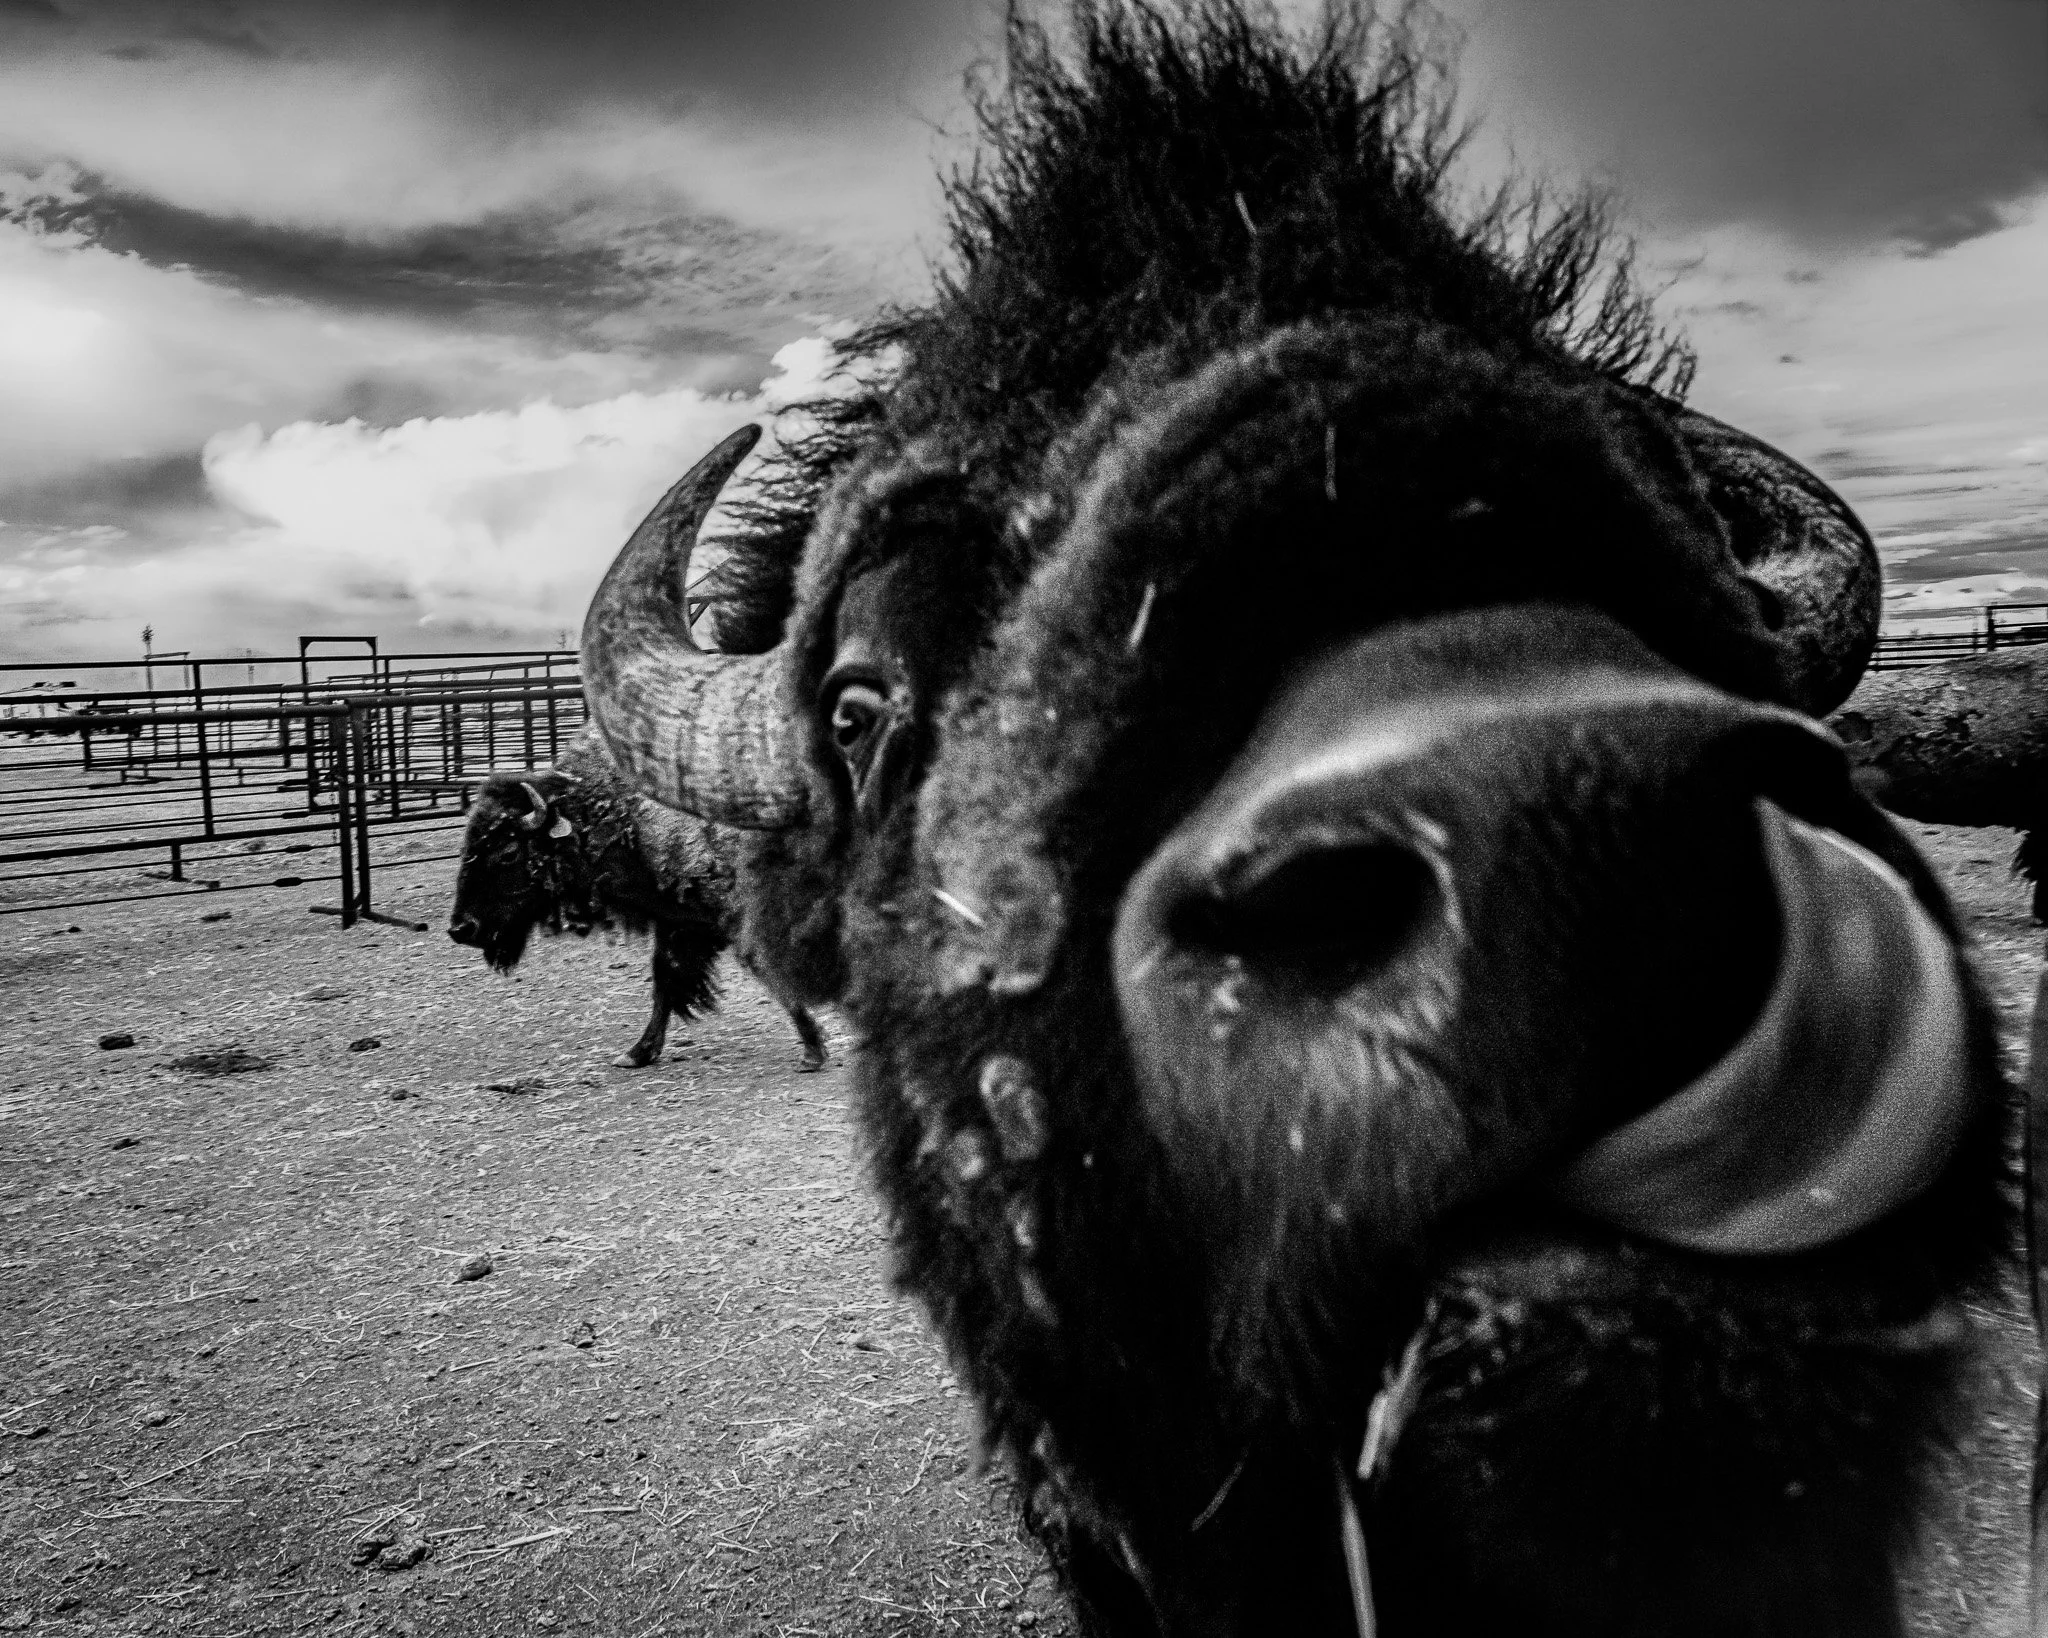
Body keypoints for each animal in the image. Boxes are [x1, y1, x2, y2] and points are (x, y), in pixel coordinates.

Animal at [447, 724, 827, 1071]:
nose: (461, 928)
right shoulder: (677, 919)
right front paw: (637, 1053)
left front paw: (813, 1051)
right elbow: (665, 978)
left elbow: (767, 969)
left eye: (508, 852)